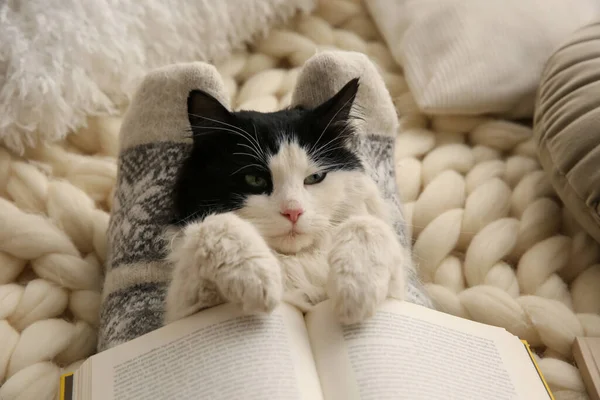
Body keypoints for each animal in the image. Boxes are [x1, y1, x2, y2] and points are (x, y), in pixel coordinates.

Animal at [162, 78, 410, 324]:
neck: (295, 261)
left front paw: (355, 292)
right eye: (255, 180)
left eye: (314, 178)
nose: (293, 212)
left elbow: (366, 224)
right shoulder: (185, 310)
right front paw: (259, 280)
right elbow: (216, 224)